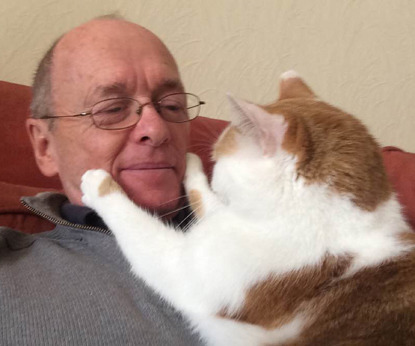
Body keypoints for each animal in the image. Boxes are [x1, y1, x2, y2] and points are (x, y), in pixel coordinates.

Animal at [80, 71, 415, 346]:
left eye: (219, 159)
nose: (213, 170)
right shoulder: (225, 221)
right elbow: (205, 199)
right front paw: (190, 163)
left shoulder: (188, 270)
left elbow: (138, 227)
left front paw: (96, 183)